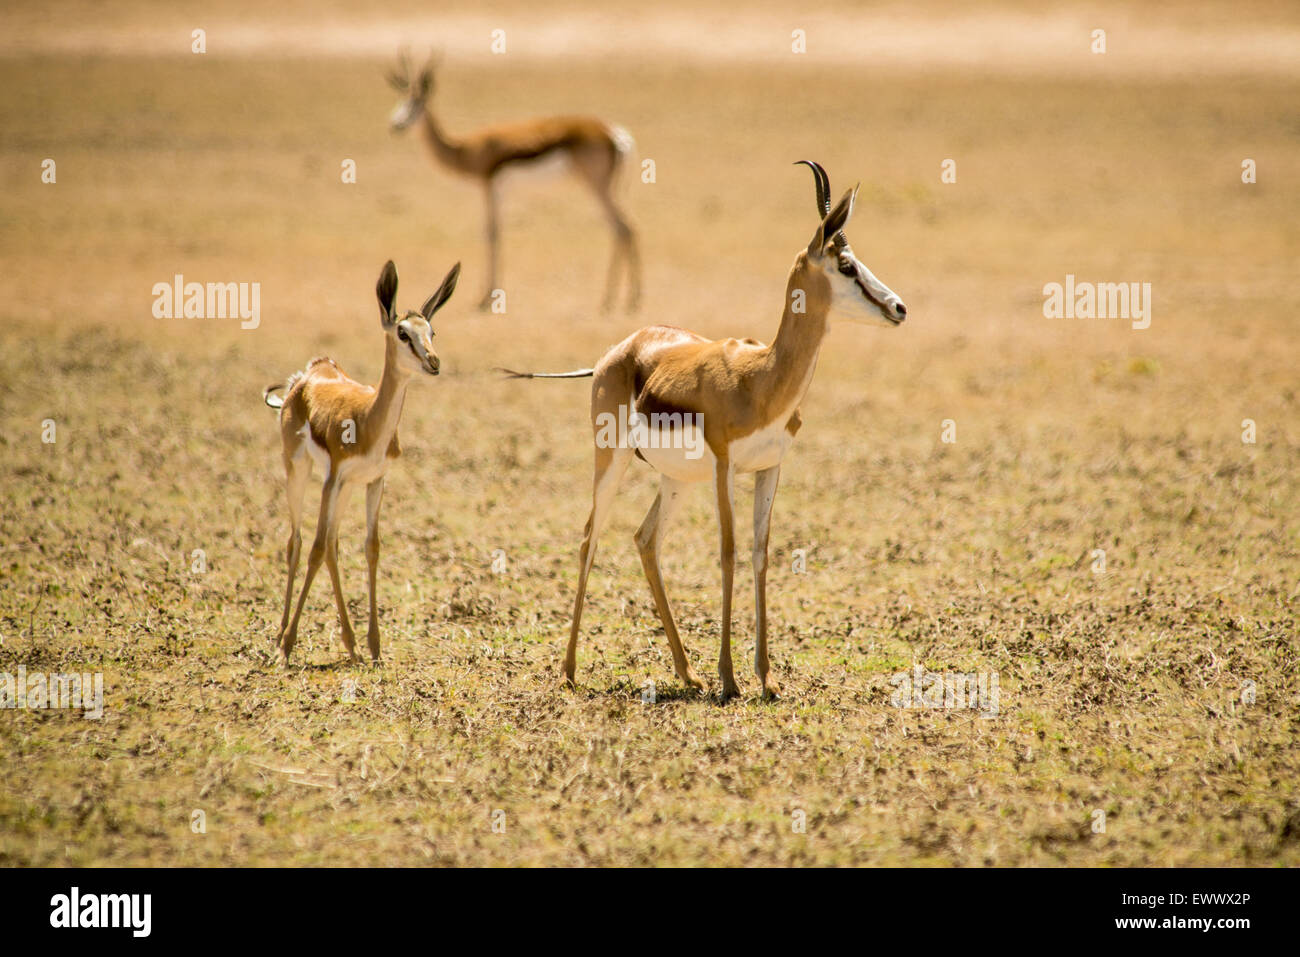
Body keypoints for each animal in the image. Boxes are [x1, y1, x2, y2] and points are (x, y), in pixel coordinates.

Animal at [261, 260, 460, 665]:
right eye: (402, 332)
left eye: (432, 331)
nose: (433, 362)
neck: (369, 420)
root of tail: (310, 372)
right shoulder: (332, 479)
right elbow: (316, 548)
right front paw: (288, 645)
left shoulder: (375, 481)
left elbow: (371, 547)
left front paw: (374, 646)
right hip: (300, 471)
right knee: (298, 541)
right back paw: (280, 638)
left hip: (347, 488)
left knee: (333, 545)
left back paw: (351, 644)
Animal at [384, 52, 639, 312]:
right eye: (401, 101)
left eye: (416, 104)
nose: (397, 125)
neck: (465, 149)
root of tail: (616, 134)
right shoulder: (498, 190)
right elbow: (496, 232)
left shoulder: (488, 186)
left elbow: (492, 233)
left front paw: (485, 298)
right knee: (624, 228)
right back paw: (624, 299)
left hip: (597, 187)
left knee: (623, 228)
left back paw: (616, 300)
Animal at [501, 162, 909, 702]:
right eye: (846, 266)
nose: (900, 308)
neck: (761, 379)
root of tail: (619, 349)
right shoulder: (724, 467)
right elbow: (728, 552)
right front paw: (731, 679)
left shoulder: (770, 467)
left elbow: (759, 552)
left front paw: (766, 678)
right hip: (611, 461)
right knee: (591, 537)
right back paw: (569, 671)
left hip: (675, 480)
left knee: (645, 539)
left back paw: (687, 673)